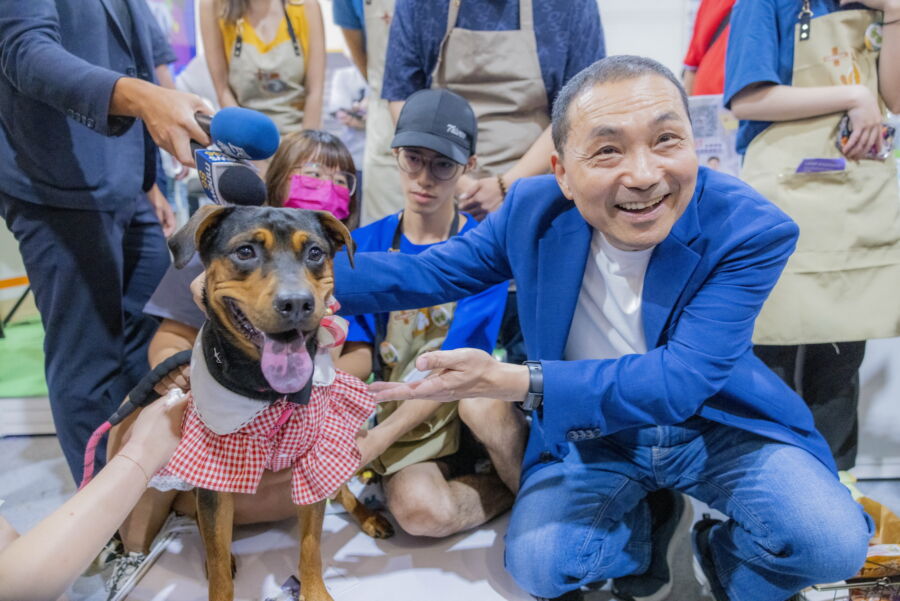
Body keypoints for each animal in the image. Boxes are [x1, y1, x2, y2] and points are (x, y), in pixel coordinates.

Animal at [163, 205, 392, 600]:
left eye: (315, 252)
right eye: (245, 251)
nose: (297, 303)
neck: (271, 392)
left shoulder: (314, 460)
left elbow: (311, 545)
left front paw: (314, 592)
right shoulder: (213, 479)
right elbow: (218, 560)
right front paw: (219, 574)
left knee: (343, 494)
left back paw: (369, 516)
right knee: (210, 538)